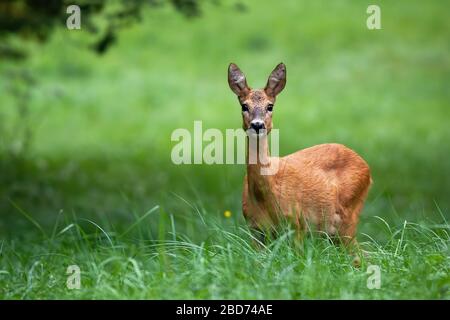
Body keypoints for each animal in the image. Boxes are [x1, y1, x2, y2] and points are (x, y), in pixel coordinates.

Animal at [229, 63, 372, 246]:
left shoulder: (296, 224)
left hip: (348, 215)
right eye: (244, 106)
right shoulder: (254, 229)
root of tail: (367, 168)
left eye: (270, 106)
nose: (257, 125)